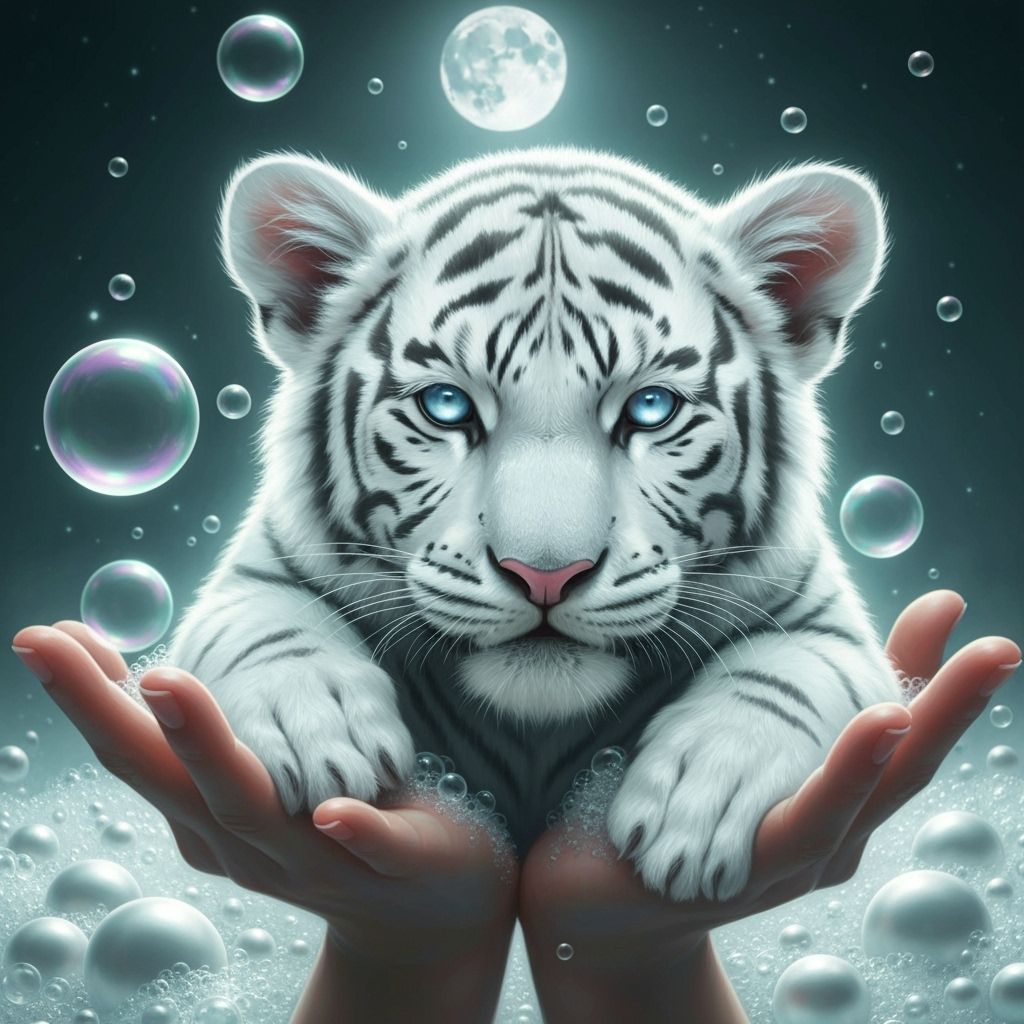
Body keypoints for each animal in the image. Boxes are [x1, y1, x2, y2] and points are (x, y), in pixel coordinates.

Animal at [168, 145, 902, 902]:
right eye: (446, 405)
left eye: (651, 409)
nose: (546, 576)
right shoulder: (260, 566)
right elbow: (267, 621)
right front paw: (318, 733)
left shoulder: (825, 622)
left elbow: (788, 674)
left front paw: (704, 795)